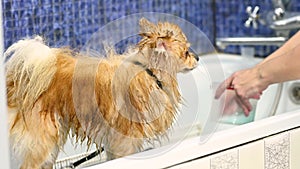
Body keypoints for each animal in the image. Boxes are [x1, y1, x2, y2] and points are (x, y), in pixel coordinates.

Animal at [5, 17, 198, 168]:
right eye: (186, 52)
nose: (197, 57)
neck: (148, 70)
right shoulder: (126, 138)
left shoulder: (114, 139)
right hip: (43, 139)